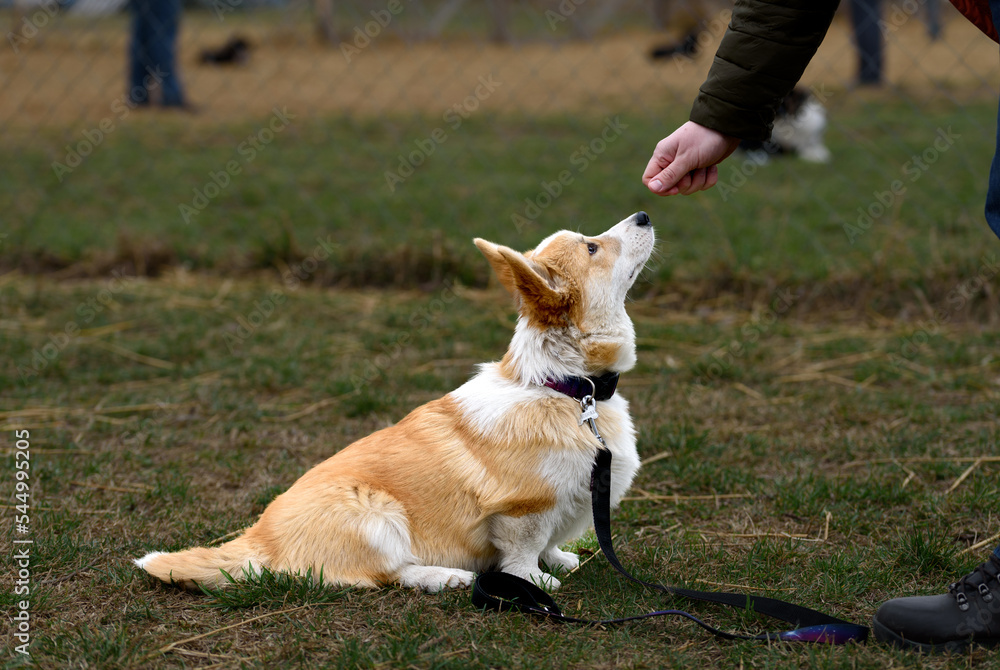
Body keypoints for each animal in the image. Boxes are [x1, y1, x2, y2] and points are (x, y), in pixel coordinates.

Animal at [137, 211, 656, 592]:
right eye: (591, 247)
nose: (644, 214)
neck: (565, 387)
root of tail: (259, 541)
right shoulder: (523, 508)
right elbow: (522, 556)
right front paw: (537, 583)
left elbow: (548, 544)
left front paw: (562, 560)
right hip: (378, 516)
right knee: (385, 574)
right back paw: (446, 576)